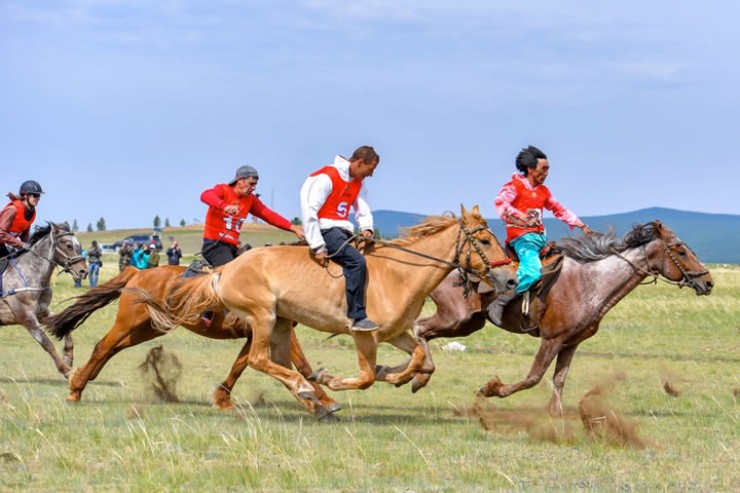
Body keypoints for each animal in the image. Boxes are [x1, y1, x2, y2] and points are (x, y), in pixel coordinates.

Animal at [0, 223, 88, 376]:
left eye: (79, 245)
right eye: (68, 245)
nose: (84, 272)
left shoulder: (41, 313)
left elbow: (65, 327)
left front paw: (68, 358)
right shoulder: (27, 318)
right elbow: (47, 343)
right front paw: (66, 370)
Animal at [43, 266, 338, 416]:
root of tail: (138, 270)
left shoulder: (256, 336)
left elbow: (240, 365)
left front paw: (222, 400)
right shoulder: (276, 333)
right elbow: (301, 365)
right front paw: (321, 400)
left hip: (149, 328)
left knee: (111, 349)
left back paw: (81, 379)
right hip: (130, 322)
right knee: (103, 346)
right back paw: (75, 389)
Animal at [142, 204, 516, 416]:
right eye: (484, 241)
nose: (511, 279)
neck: (400, 273)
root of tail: (224, 269)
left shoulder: (395, 334)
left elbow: (419, 358)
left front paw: (395, 374)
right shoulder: (364, 334)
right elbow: (365, 377)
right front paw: (333, 379)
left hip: (281, 322)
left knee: (276, 361)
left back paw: (312, 398)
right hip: (263, 316)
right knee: (259, 360)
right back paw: (310, 389)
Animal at [414, 221, 712, 414]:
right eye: (681, 251)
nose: (708, 282)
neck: (589, 282)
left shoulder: (571, 343)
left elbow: (559, 379)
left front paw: (555, 414)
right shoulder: (551, 339)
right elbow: (534, 376)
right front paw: (490, 389)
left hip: (467, 325)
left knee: (422, 330)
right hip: (455, 318)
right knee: (418, 328)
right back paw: (417, 376)